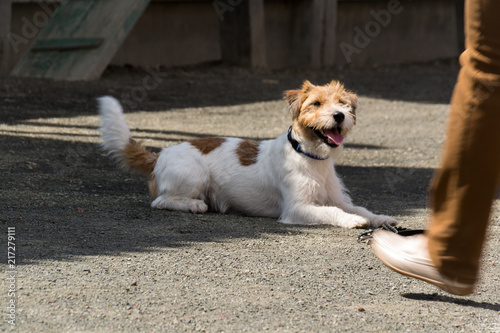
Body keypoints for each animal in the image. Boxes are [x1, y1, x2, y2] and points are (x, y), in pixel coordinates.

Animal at [97, 80, 396, 228]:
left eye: (343, 103)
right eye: (316, 103)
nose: (339, 115)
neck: (309, 157)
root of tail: (160, 155)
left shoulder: (337, 198)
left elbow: (360, 208)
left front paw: (380, 218)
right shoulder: (297, 208)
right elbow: (333, 213)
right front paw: (352, 221)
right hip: (194, 175)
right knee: (161, 201)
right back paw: (194, 205)